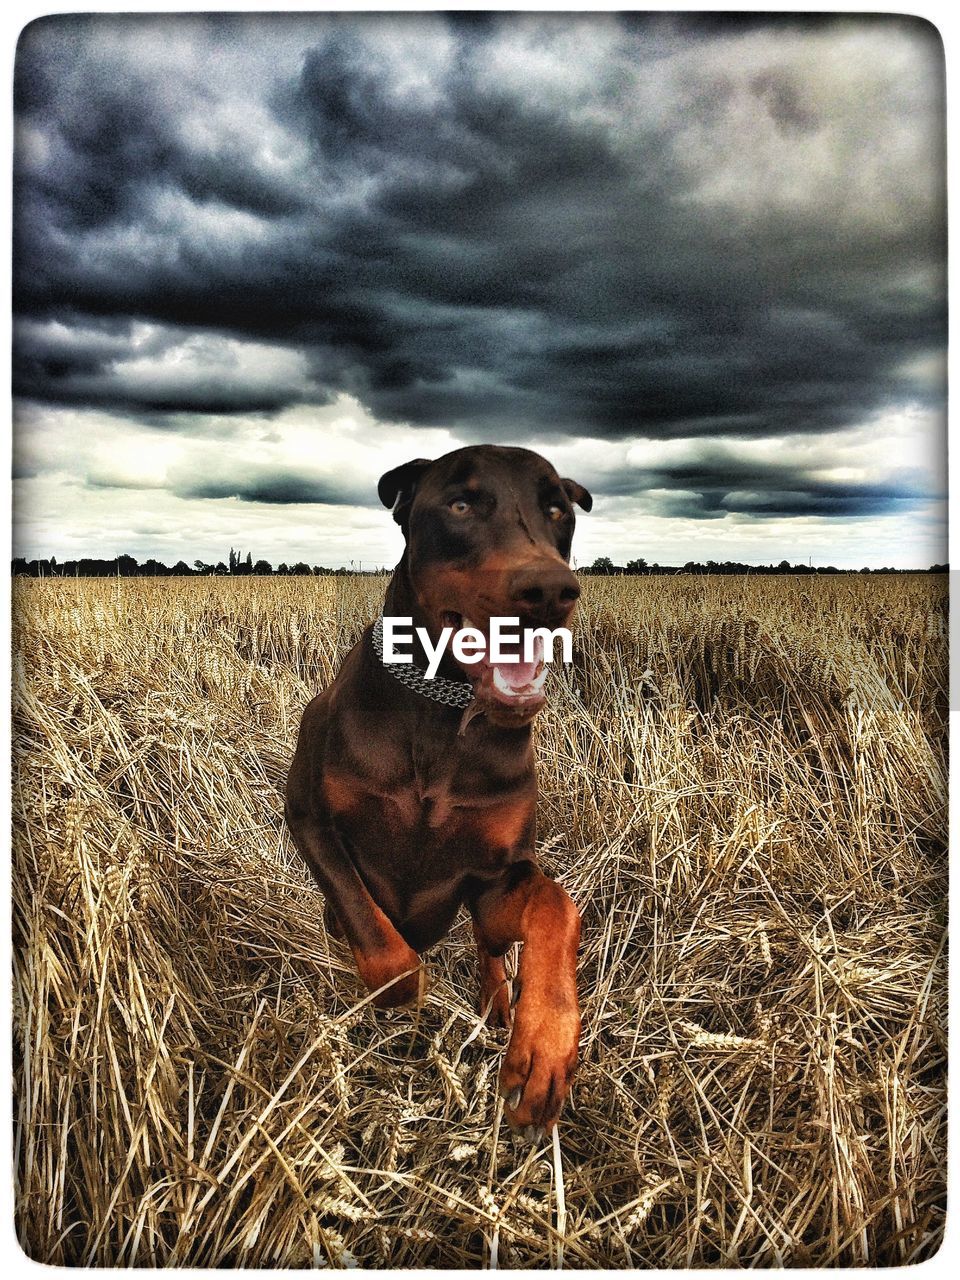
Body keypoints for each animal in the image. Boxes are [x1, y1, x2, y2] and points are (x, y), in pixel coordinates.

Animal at [281, 445, 591, 1136]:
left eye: (557, 508)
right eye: (461, 504)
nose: (550, 588)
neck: (441, 710)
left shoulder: (494, 877)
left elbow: (556, 904)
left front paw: (545, 1045)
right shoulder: (313, 820)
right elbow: (374, 935)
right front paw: (398, 992)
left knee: (492, 952)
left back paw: (501, 1009)